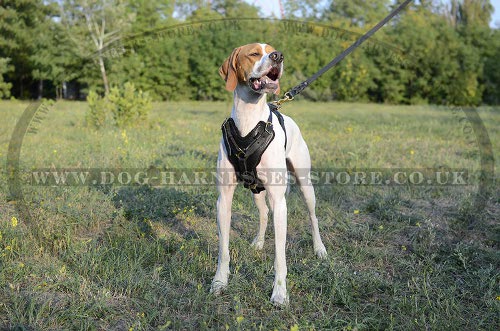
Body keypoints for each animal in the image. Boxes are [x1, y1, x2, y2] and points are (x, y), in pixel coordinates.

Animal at [211, 43, 328, 306]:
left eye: (273, 50)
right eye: (254, 53)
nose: (278, 56)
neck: (248, 119)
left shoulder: (280, 201)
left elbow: (280, 257)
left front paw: (280, 293)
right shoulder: (224, 200)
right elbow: (223, 250)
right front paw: (220, 282)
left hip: (305, 186)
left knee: (313, 217)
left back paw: (319, 249)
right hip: (256, 190)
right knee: (264, 213)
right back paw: (259, 242)